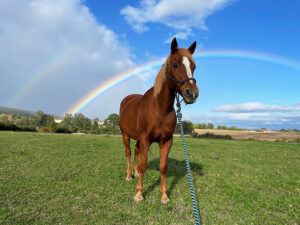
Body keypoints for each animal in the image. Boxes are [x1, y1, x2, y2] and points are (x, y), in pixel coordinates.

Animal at [119, 38, 199, 204]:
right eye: (175, 64)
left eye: (193, 66)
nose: (192, 93)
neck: (159, 108)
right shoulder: (145, 139)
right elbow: (143, 165)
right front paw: (139, 194)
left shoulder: (166, 141)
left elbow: (163, 167)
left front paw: (164, 196)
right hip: (125, 135)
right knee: (128, 153)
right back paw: (129, 175)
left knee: (135, 151)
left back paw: (135, 173)